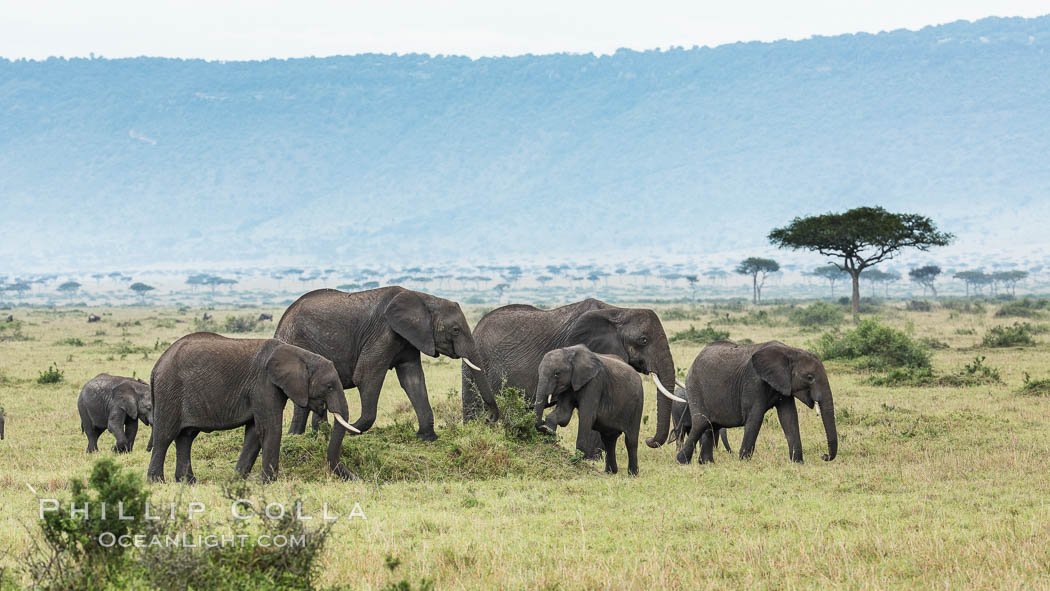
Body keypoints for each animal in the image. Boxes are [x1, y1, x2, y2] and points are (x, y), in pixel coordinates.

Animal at [148, 335, 359, 482]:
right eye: (329, 386)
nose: (356, 478)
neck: (300, 354)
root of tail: (157, 365)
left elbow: (254, 432)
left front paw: (237, 480)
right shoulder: (263, 385)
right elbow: (270, 429)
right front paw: (269, 482)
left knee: (186, 437)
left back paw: (188, 482)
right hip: (169, 391)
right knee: (165, 436)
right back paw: (157, 482)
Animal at [275, 287, 495, 472]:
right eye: (455, 330)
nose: (489, 420)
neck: (423, 299)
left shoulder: (409, 340)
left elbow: (413, 380)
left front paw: (426, 438)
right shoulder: (383, 334)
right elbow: (366, 375)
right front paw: (354, 430)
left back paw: (316, 434)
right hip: (297, 343)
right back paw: (300, 436)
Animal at [461, 298, 680, 455]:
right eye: (643, 340)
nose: (649, 440)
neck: (619, 311)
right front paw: (591, 458)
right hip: (477, 363)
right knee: (474, 408)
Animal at [537, 342, 642, 476]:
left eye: (557, 373)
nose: (539, 425)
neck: (570, 352)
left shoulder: (594, 383)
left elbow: (586, 417)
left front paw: (576, 461)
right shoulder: (569, 385)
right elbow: (563, 415)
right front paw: (547, 431)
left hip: (637, 404)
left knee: (631, 440)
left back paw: (632, 474)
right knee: (609, 440)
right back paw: (610, 472)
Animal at [676, 342, 839, 468]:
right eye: (810, 377)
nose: (824, 456)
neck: (789, 351)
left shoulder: (784, 384)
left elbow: (789, 417)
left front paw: (798, 462)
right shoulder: (754, 381)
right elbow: (756, 416)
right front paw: (743, 461)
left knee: (711, 426)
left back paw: (706, 463)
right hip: (694, 386)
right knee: (701, 422)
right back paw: (682, 461)